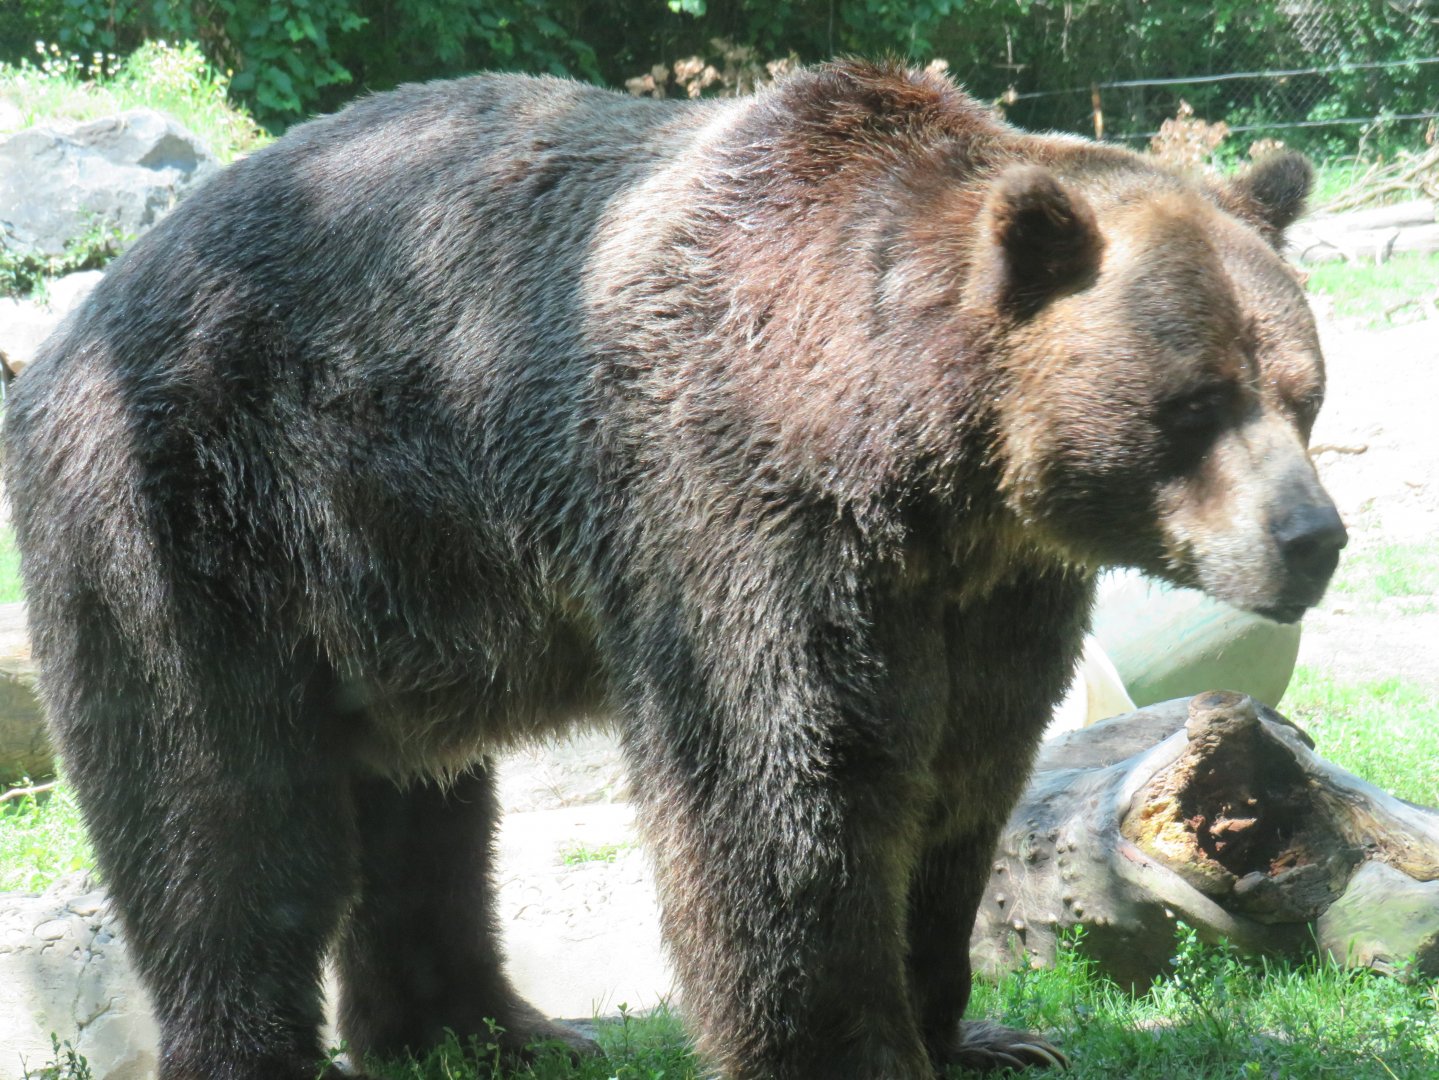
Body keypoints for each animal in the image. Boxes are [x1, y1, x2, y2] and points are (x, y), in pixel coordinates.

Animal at [4, 60, 1344, 1079]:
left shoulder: (988, 595)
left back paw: (486, 1029)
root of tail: (82, 320)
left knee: (419, 813)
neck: (911, 457)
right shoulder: (740, 507)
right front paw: (845, 1050)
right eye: (1194, 403)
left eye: (1300, 392)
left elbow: (965, 780)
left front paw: (979, 1034)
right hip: (197, 515)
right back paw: (270, 1045)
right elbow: (785, 788)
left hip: (389, 581)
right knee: (217, 809)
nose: (1309, 538)